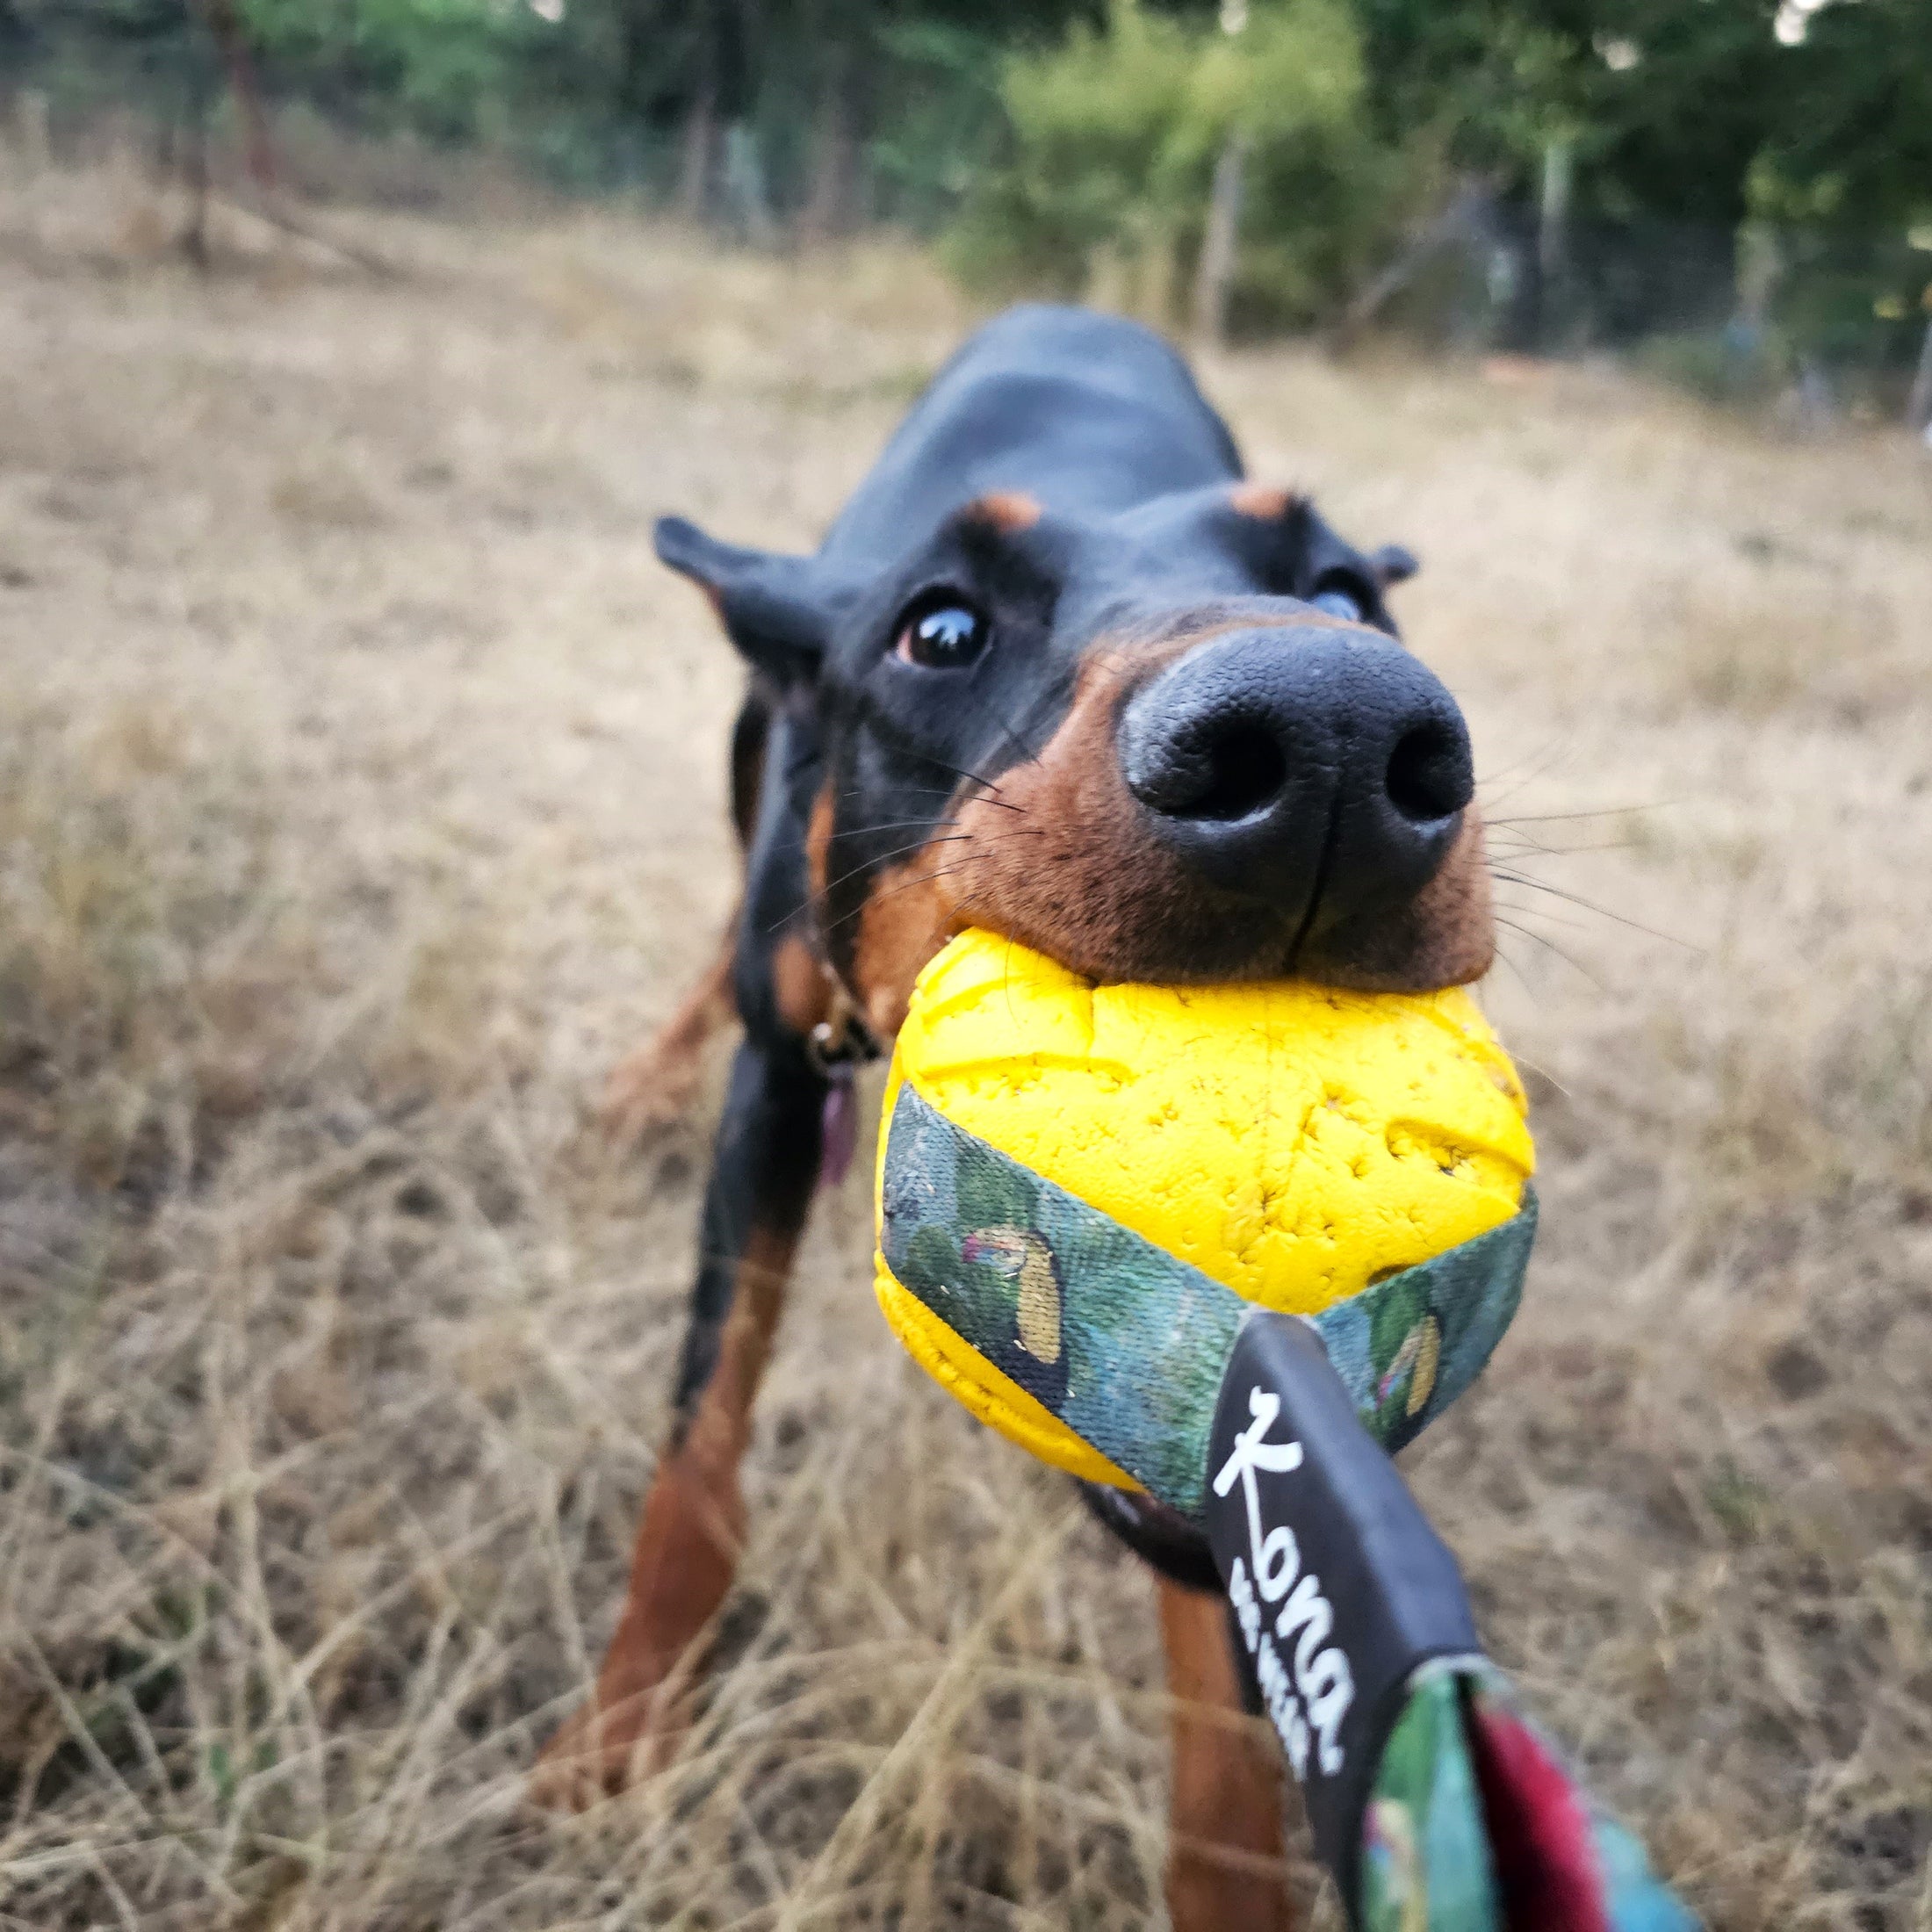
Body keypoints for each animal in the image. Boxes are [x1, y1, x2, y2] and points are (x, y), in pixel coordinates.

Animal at [537, 309, 1499, 1924]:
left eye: (1341, 591)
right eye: (938, 632)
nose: (1337, 745)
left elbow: (1231, 1678)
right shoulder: (779, 1081)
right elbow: (699, 1441)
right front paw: (619, 1735)